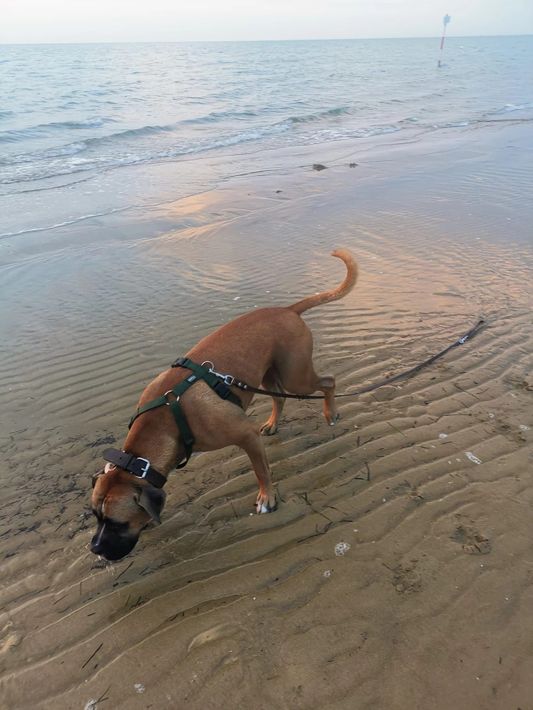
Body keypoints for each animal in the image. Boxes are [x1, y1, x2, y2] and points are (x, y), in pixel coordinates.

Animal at [90, 249, 357, 560]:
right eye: (96, 516)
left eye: (117, 523)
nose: (94, 548)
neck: (167, 419)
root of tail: (288, 310)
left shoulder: (246, 436)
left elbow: (261, 470)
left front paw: (267, 497)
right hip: (270, 374)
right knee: (279, 397)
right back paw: (273, 423)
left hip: (297, 376)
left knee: (328, 382)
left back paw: (331, 413)